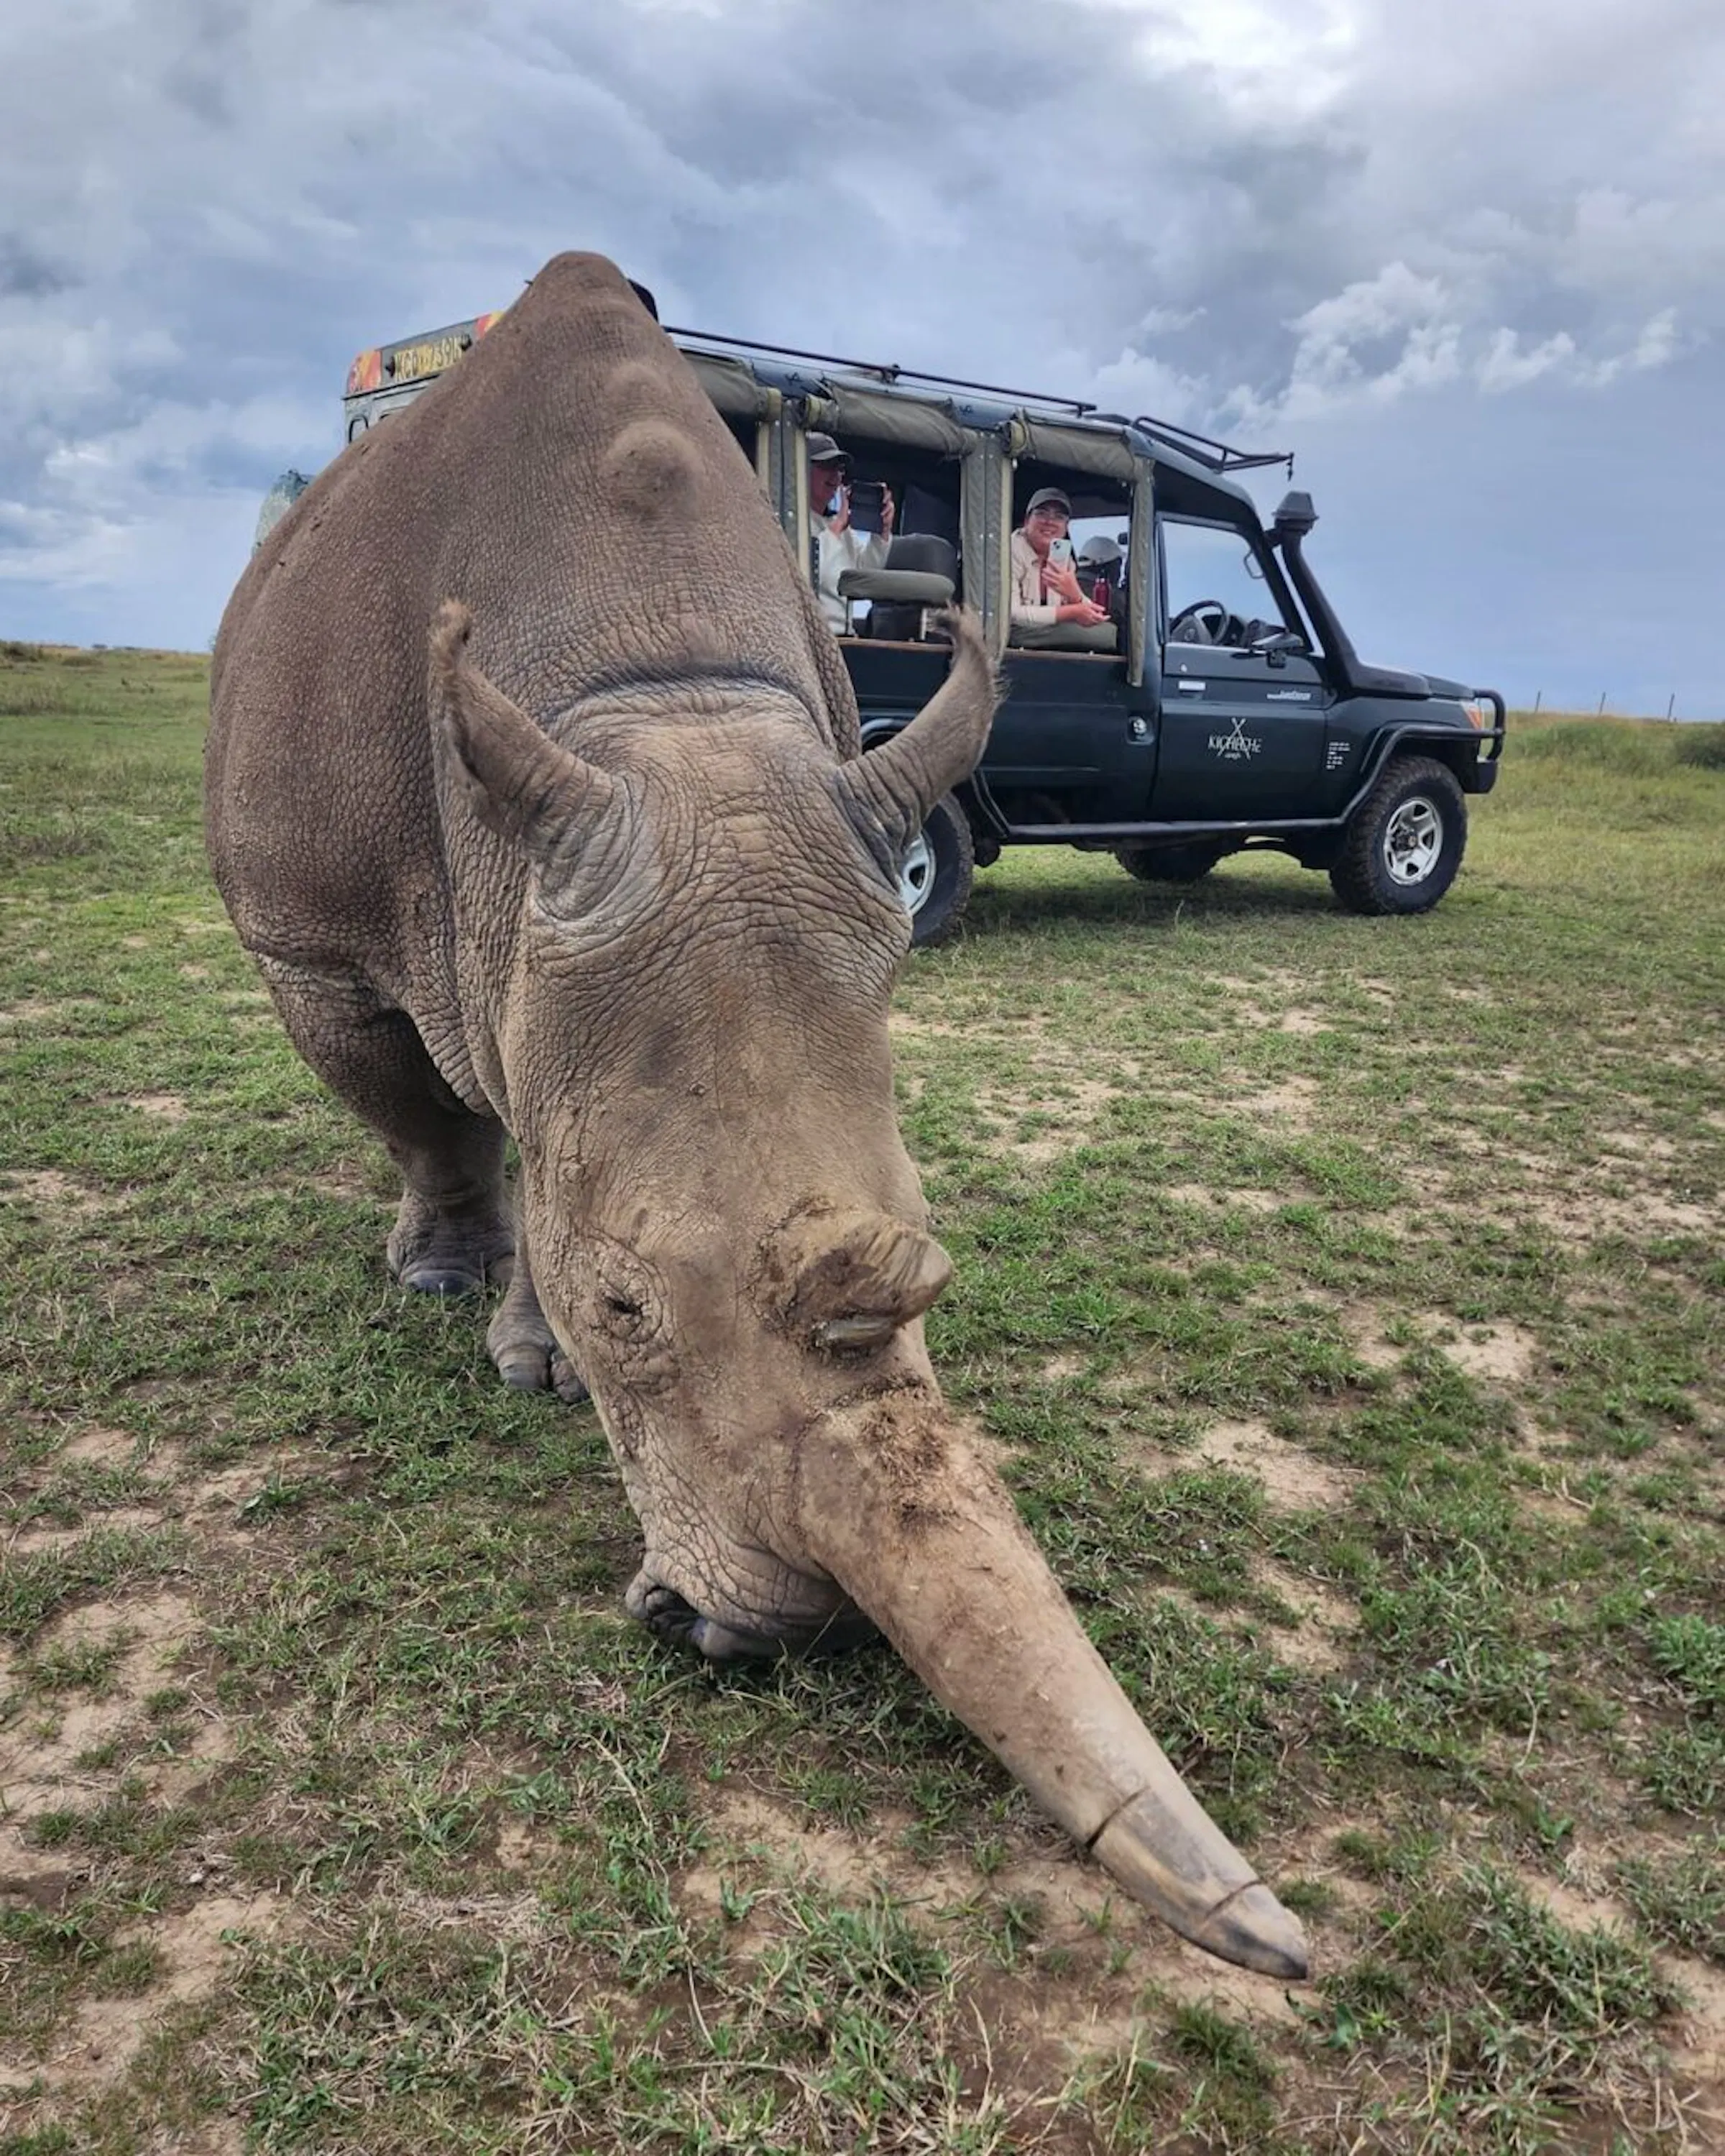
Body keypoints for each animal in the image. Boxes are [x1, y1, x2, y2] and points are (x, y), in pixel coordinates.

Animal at [205, 251, 1306, 1980]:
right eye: (624, 1306)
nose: (777, 1626)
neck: (654, 705)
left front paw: (524, 1345)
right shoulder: (313, 931)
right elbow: (428, 1111)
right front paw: (465, 1292)